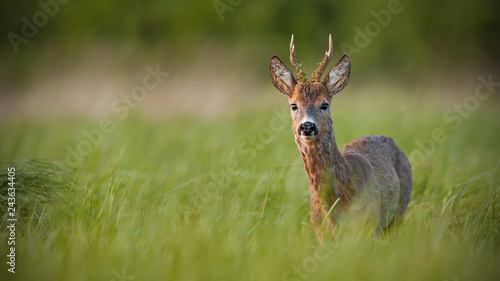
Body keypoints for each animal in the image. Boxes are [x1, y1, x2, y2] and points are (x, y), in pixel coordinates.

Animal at [272, 34, 412, 241]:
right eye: (293, 105)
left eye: (324, 104)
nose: (307, 126)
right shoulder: (320, 232)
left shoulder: (369, 225)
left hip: (400, 209)